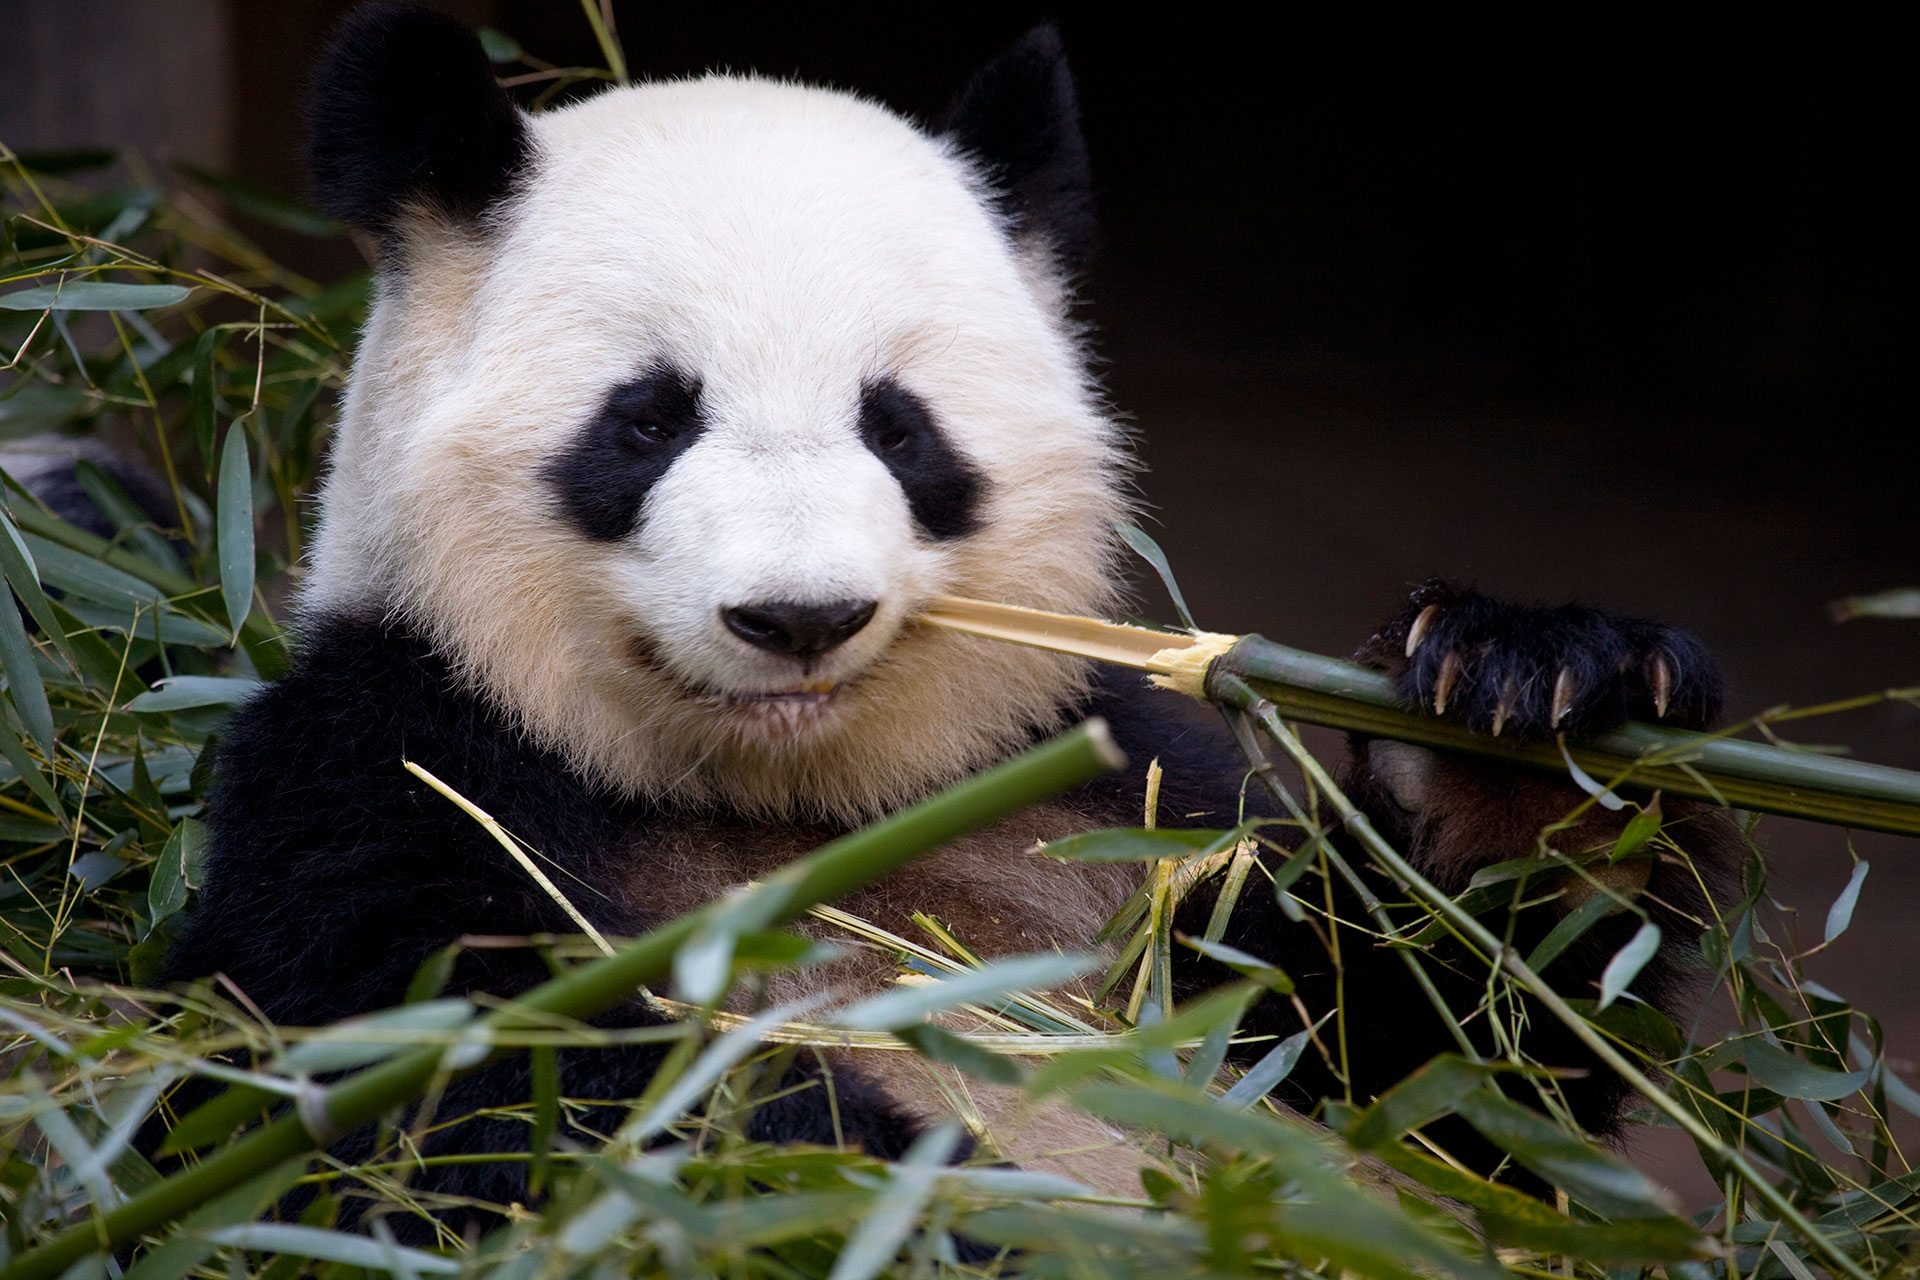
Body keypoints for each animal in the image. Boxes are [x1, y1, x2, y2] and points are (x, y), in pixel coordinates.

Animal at [161, 0, 1743, 1243]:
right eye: (650, 419)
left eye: (901, 428)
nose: (799, 615)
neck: (804, 803)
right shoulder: (393, 763)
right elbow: (506, 1095)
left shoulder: (1126, 801)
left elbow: (1438, 1075)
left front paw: (1533, 715)